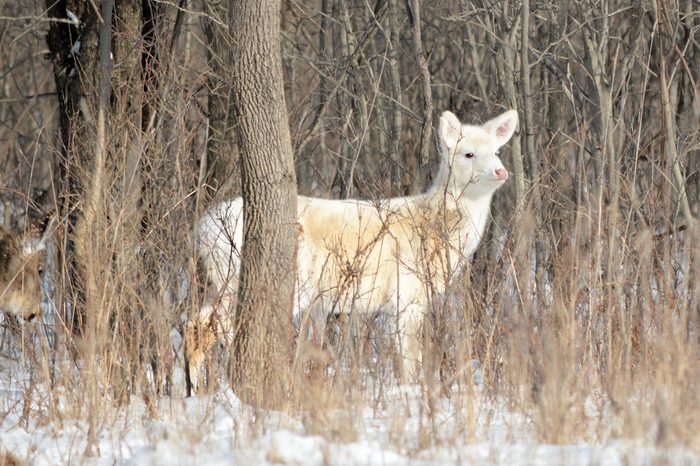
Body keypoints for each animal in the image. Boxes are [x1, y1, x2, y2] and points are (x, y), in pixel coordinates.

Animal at [187, 109, 518, 391]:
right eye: (468, 153)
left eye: (496, 151)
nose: (502, 172)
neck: (437, 229)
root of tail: (203, 227)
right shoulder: (407, 294)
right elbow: (410, 358)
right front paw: (412, 392)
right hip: (258, 278)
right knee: (218, 325)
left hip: (225, 278)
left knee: (198, 320)